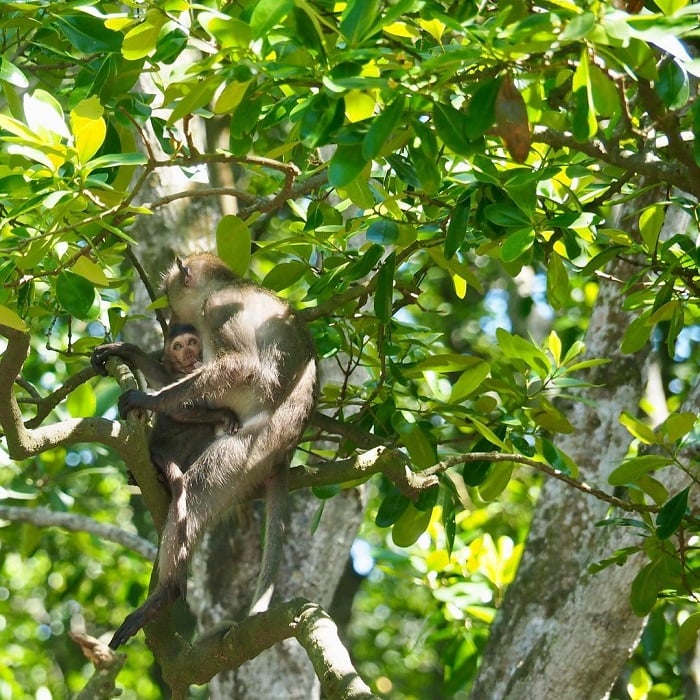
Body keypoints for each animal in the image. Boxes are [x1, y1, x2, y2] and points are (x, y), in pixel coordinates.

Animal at [105, 253, 318, 652]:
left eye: (170, 294)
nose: (171, 315)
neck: (227, 284)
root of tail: (287, 446)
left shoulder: (220, 308)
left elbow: (242, 365)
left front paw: (150, 400)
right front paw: (130, 353)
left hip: (251, 447)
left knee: (195, 490)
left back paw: (167, 592)